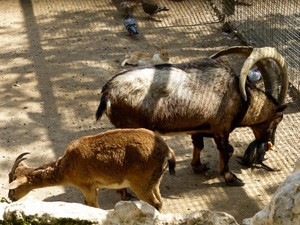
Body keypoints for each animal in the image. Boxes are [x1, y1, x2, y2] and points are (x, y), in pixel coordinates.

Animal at [96, 46, 288, 186]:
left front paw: (199, 167)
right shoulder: (221, 129)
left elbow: (199, 145)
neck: (242, 97)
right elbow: (227, 150)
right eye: (278, 119)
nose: (269, 143)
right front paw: (231, 178)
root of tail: (108, 93)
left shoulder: (199, 128)